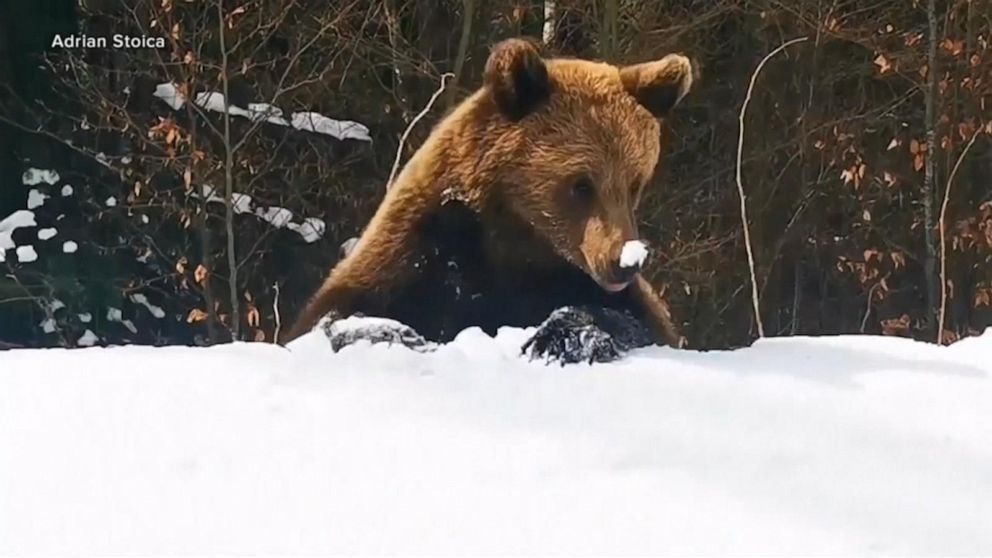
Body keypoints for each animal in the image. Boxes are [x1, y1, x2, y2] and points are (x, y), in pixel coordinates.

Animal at [282, 38, 692, 364]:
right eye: (581, 185)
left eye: (635, 182)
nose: (625, 262)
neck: (514, 243)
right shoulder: (420, 256)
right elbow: (336, 316)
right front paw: (393, 335)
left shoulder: (572, 281)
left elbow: (637, 322)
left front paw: (560, 336)